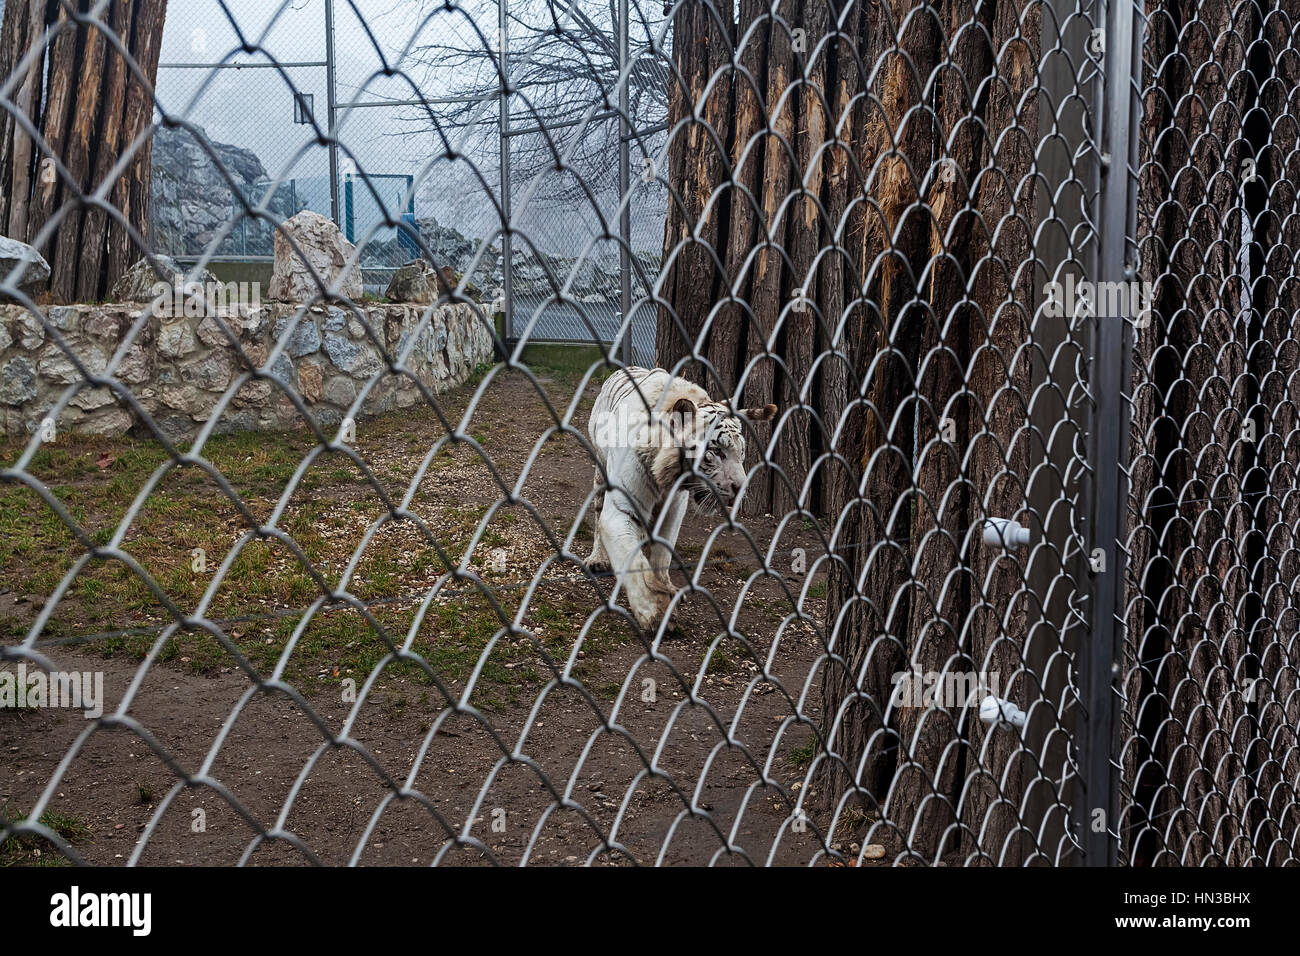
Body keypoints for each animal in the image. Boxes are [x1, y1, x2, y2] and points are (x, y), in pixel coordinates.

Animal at [587, 369, 774, 632]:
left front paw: (668, 588)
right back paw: (597, 559)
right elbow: (633, 561)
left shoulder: (675, 505)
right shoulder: (622, 509)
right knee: (597, 511)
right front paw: (655, 611)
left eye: (742, 452)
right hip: (600, 470)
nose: (740, 488)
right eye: (717, 452)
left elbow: (662, 552)